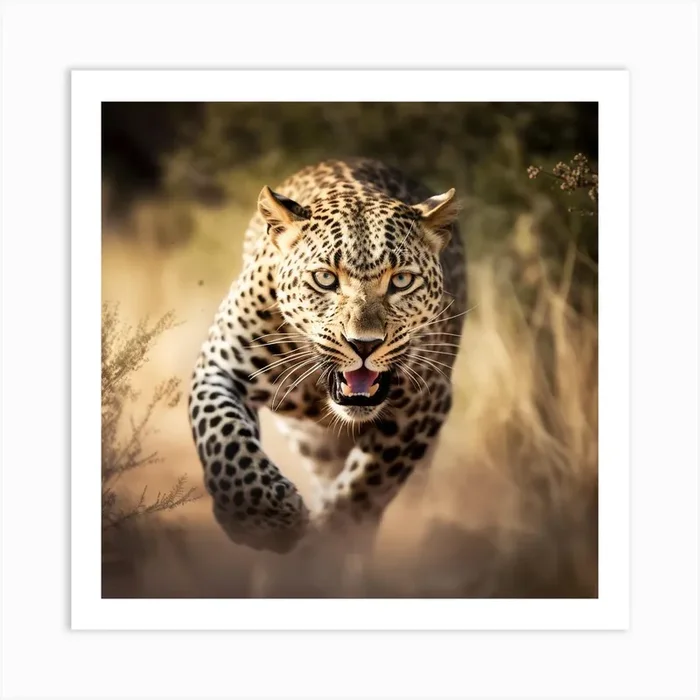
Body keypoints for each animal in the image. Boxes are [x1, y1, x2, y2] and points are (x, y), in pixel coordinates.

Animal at [188, 158, 467, 556]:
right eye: (324, 278)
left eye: (401, 281)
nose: (364, 344)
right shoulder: (219, 368)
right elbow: (223, 437)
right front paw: (266, 520)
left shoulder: (426, 402)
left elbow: (368, 482)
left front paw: (329, 541)